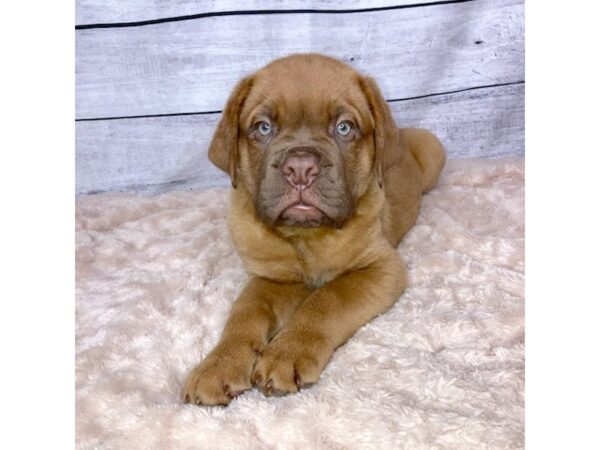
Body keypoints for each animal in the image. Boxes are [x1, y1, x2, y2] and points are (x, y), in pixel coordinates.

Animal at [183, 53, 446, 408]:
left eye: (344, 127)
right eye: (263, 127)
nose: (300, 168)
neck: (304, 237)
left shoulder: (381, 267)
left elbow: (326, 299)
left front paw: (287, 352)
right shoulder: (272, 278)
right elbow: (244, 312)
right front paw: (219, 365)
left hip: (434, 152)